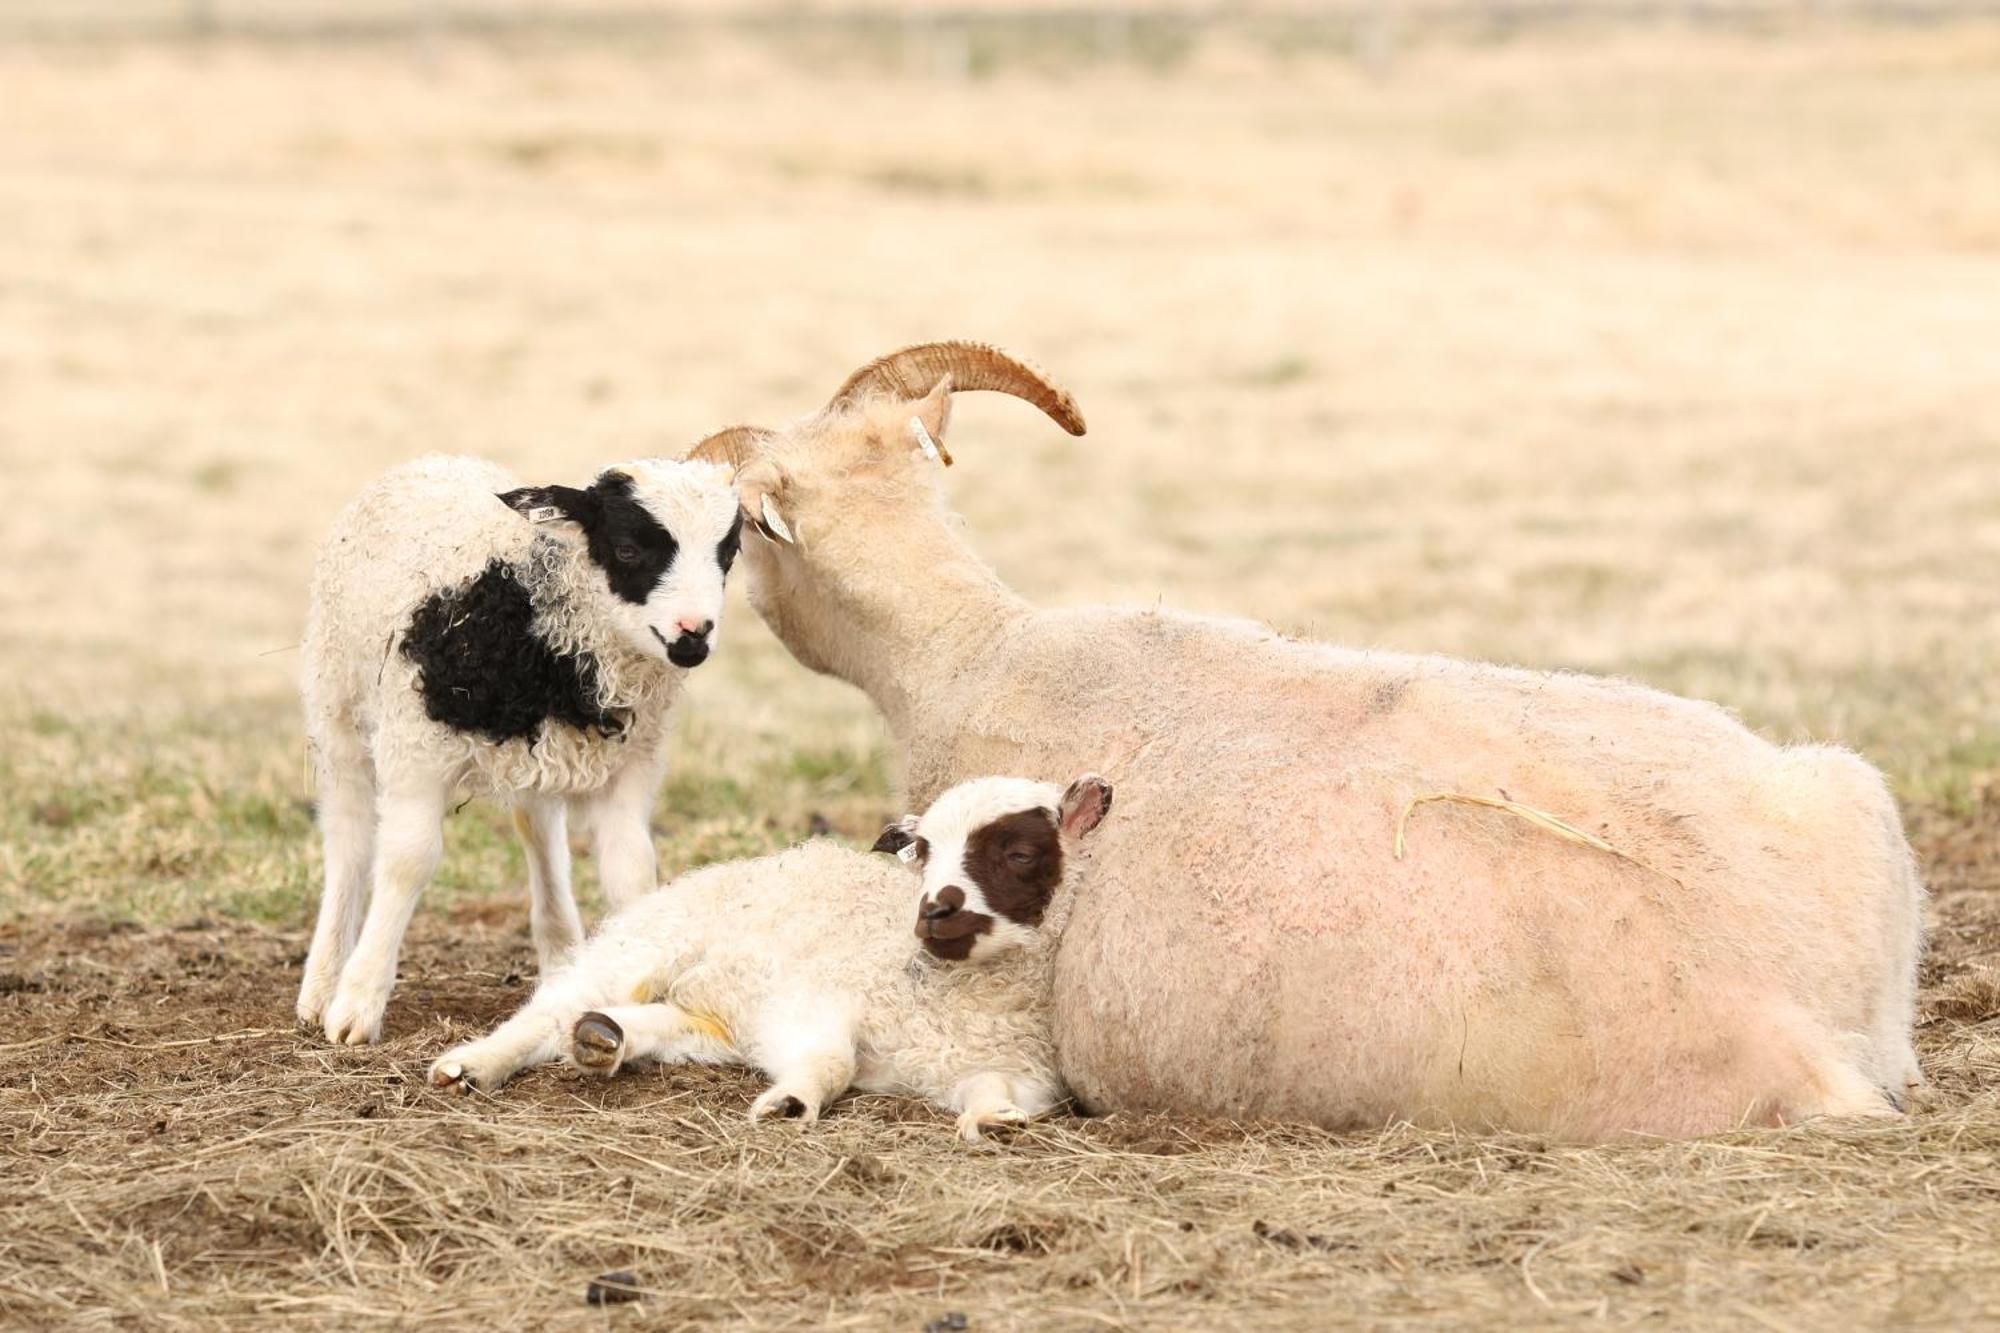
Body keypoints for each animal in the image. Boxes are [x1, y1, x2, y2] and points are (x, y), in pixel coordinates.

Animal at [292, 452, 740, 1040]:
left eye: (728, 553)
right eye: (627, 548)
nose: (694, 634)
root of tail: (434, 459)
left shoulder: (631, 764)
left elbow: (631, 869)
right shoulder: (415, 749)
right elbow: (408, 861)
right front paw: (357, 1007)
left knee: (538, 828)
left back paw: (561, 955)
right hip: (337, 704)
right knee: (347, 840)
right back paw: (322, 985)